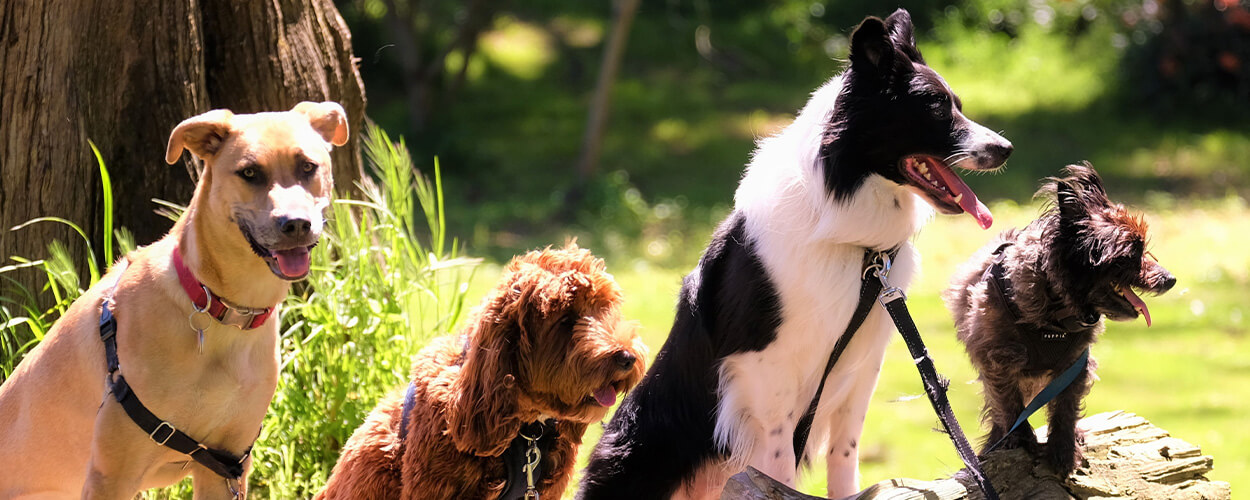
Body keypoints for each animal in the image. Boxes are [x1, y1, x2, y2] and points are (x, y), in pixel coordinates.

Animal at [0, 102, 347, 500]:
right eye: (249, 172)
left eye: (307, 167)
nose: (296, 224)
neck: (224, 310)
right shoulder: (111, 473)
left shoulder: (227, 464)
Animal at [580, 8, 1010, 500]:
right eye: (936, 107)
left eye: (956, 103)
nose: (1006, 149)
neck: (851, 240)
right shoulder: (763, 368)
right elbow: (779, 461)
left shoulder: (862, 364)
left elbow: (845, 452)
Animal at [945, 162, 1170, 472]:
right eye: (1131, 254)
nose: (1169, 279)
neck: (1055, 317)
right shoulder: (998, 360)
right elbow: (1009, 403)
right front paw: (1020, 439)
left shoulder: (1074, 365)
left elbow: (1065, 408)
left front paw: (1063, 449)